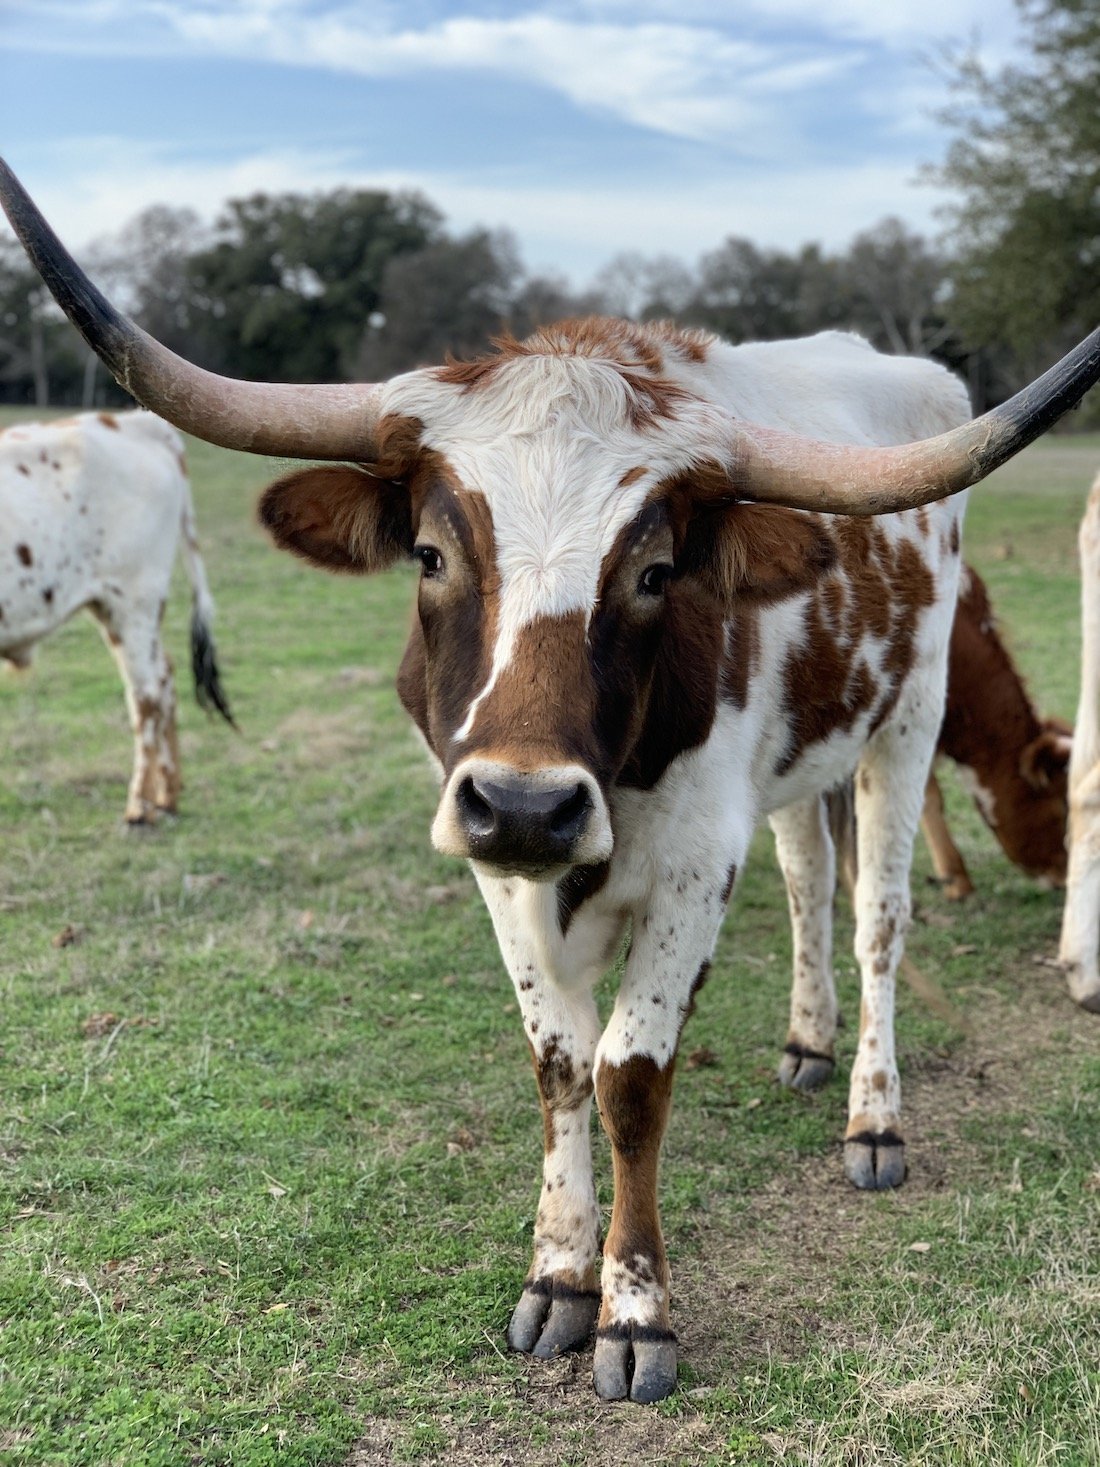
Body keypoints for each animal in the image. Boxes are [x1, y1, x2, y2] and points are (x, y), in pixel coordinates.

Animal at [1, 410, 234, 827]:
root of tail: (132, 421)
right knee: (164, 678)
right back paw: (167, 795)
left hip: (132, 601)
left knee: (146, 695)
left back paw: (139, 805)